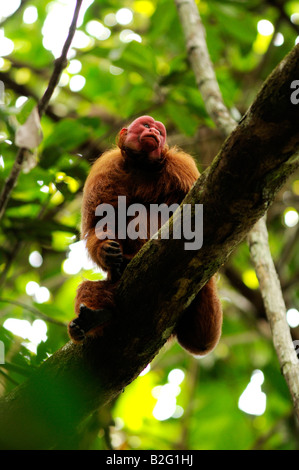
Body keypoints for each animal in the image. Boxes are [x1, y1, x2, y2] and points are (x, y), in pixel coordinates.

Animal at [68, 115, 223, 354]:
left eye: (160, 131)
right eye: (148, 126)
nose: (155, 133)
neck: (140, 165)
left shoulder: (181, 167)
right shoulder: (107, 166)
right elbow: (97, 224)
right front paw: (105, 252)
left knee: (144, 212)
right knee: (91, 287)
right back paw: (95, 316)